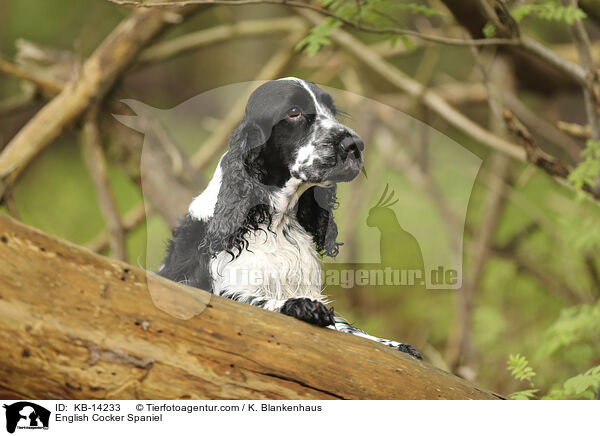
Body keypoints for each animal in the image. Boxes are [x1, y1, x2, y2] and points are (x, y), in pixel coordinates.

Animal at [159, 77, 422, 358]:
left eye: (331, 111)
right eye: (294, 112)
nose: (355, 145)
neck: (276, 220)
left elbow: (350, 329)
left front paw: (396, 344)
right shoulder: (226, 289)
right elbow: (260, 301)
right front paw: (301, 306)